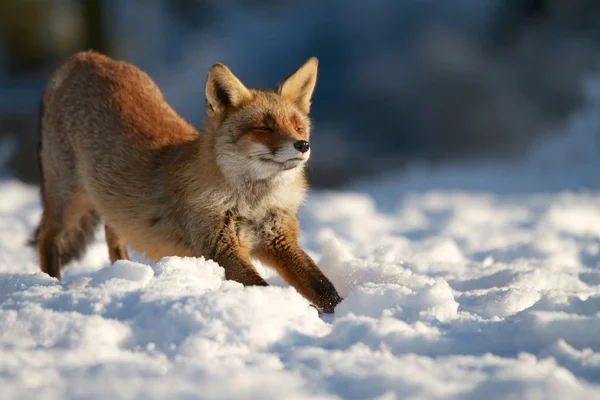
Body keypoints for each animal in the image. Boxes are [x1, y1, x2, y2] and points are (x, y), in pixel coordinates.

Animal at [31, 50, 342, 312]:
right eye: (263, 127)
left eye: (298, 126)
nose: (302, 145)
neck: (252, 203)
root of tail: (86, 55)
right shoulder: (220, 248)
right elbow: (262, 288)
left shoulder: (280, 242)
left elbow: (324, 288)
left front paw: (339, 313)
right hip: (68, 201)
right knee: (48, 237)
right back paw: (51, 284)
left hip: (106, 199)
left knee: (113, 233)